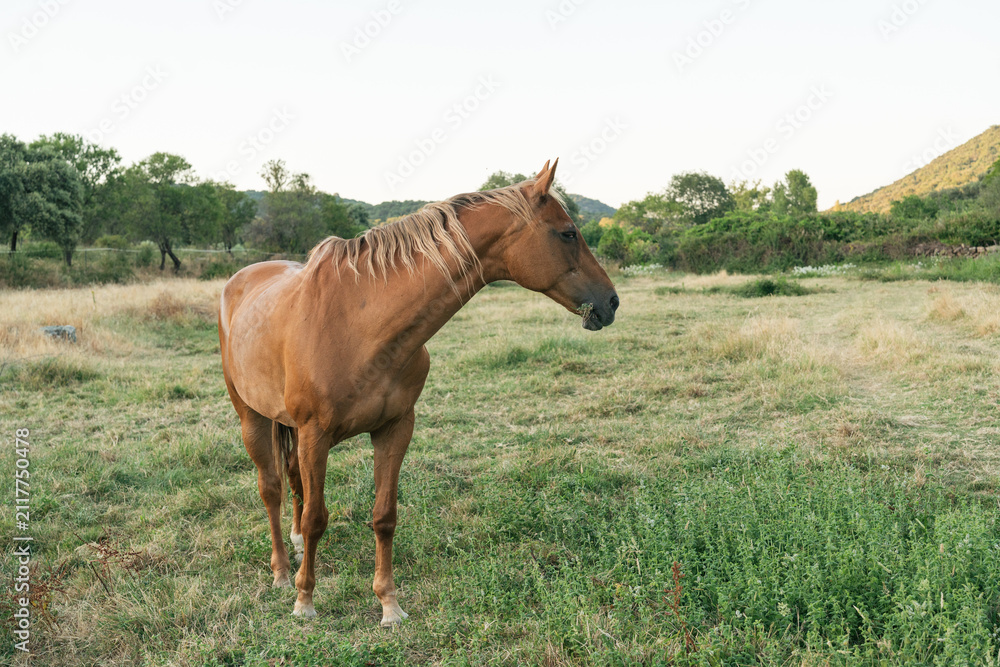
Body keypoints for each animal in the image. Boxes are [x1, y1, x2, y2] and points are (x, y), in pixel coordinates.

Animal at [218, 159, 619, 625]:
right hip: (252, 418)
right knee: (272, 490)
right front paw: (305, 600)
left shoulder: (394, 428)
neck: (360, 325)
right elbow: (319, 517)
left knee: (295, 485)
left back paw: (297, 548)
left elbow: (384, 516)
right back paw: (283, 571)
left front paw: (388, 604)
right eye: (568, 232)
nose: (611, 302)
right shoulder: (315, 434)